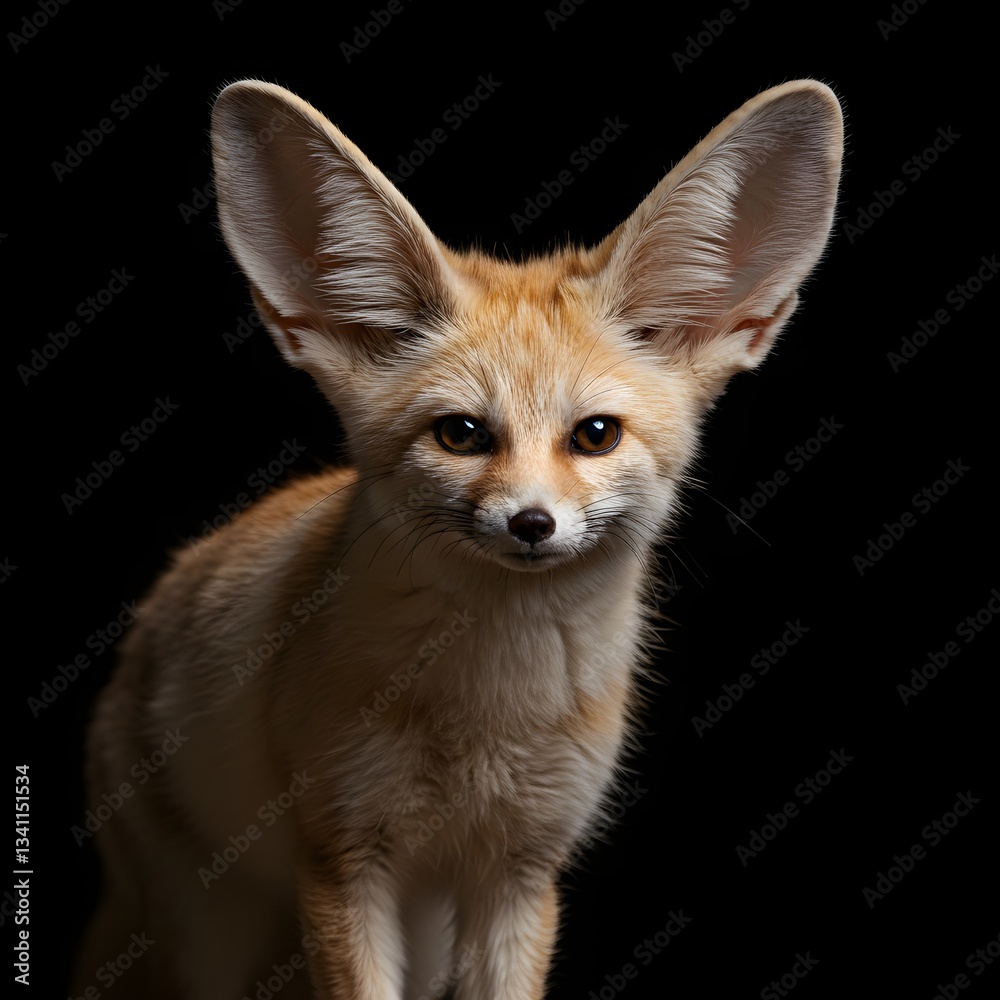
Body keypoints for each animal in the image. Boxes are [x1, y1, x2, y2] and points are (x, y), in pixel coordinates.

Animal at [72, 79, 843, 999]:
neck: (490, 710)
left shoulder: (522, 870)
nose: (532, 523)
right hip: (213, 942)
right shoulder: (342, 857)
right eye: (462, 434)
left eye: (594, 435)